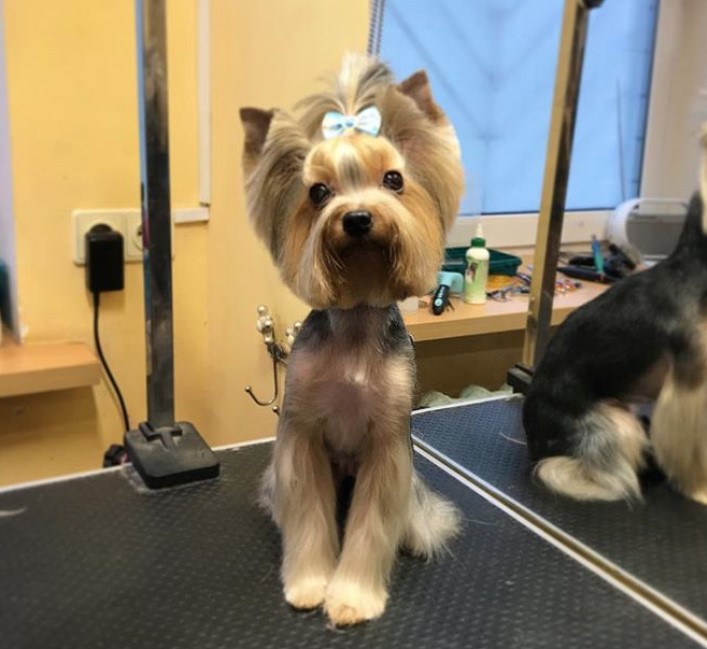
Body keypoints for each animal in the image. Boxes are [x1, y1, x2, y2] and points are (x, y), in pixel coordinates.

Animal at [241, 57, 468, 628]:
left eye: (393, 180)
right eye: (318, 192)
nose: (359, 217)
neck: (356, 322)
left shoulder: (387, 443)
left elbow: (371, 524)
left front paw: (352, 598)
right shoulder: (301, 431)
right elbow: (309, 515)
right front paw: (309, 585)